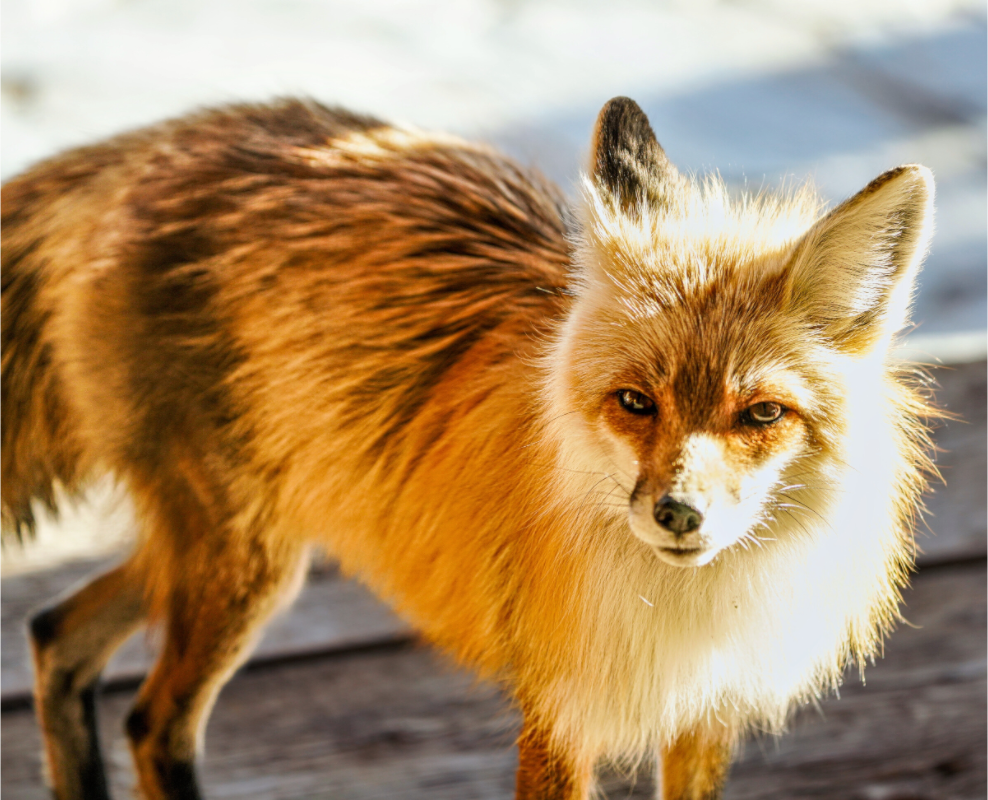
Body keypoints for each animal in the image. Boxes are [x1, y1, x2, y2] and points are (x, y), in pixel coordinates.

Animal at [0, 95, 936, 800]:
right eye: (635, 403)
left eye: (761, 414)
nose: (678, 513)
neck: (685, 612)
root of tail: (162, 141)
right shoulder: (559, 714)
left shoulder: (704, 718)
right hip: (243, 563)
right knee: (151, 723)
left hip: (226, 550)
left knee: (55, 634)